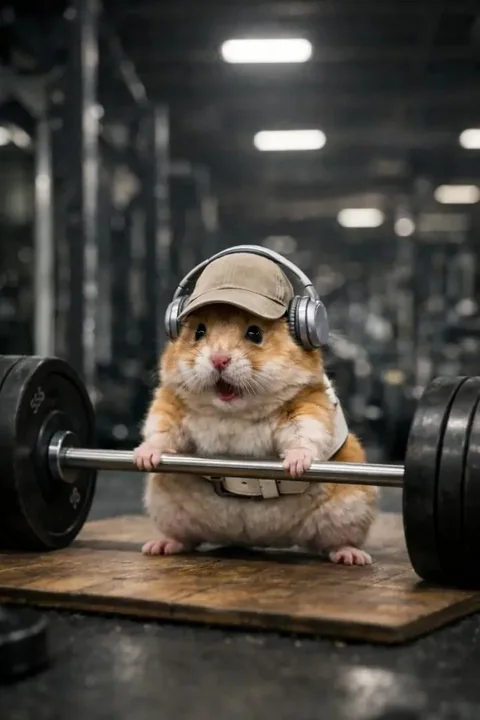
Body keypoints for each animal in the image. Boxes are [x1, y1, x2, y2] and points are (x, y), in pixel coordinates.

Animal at [134, 304, 378, 565]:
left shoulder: (307, 404)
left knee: (334, 543)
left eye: (255, 334)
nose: (219, 360)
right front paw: (143, 458)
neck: (232, 411)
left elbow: (305, 431)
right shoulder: (170, 404)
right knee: (185, 539)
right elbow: (161, 429)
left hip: (351, 509)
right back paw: (157, 547)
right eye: (199, 331)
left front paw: (295, 466)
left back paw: (353, 557)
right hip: (166, 508)